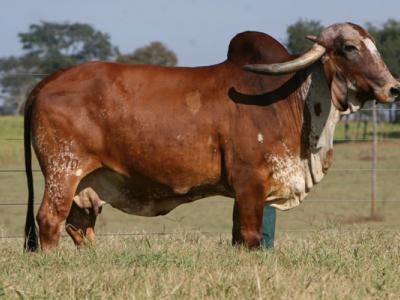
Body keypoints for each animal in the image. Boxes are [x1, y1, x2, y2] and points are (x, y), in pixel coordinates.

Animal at [24, 22, 396, 251]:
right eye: (349, 47)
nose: (393, 87)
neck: (293, 99)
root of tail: (48, 82)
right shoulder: (250, 183)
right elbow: (250, 236)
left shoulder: (245, 191)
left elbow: (238, 236)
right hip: (63, 172)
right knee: (49, 220)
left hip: (86, 184)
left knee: (78, 226)